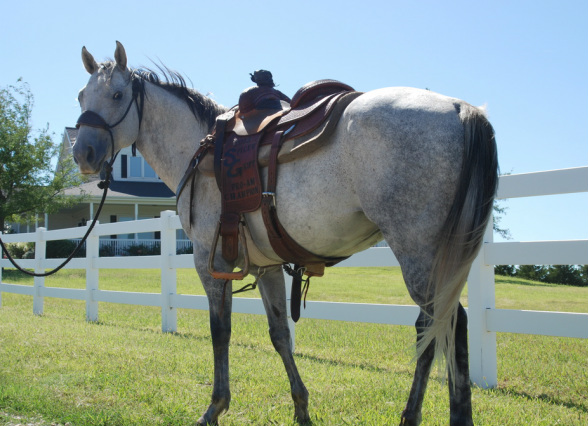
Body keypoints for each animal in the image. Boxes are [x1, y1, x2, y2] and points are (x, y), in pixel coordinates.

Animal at [72, 40, 496, 426]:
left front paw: (215, 407)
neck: (199, 148)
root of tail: (460, 109)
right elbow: (280, 334)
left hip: (418, 252)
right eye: (81, 96)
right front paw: (302, 409)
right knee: (437, 328)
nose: (83, 153)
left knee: (444, 324)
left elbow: (220, 330)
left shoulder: (210, 260)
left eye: (117, 94)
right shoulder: (267, 267)